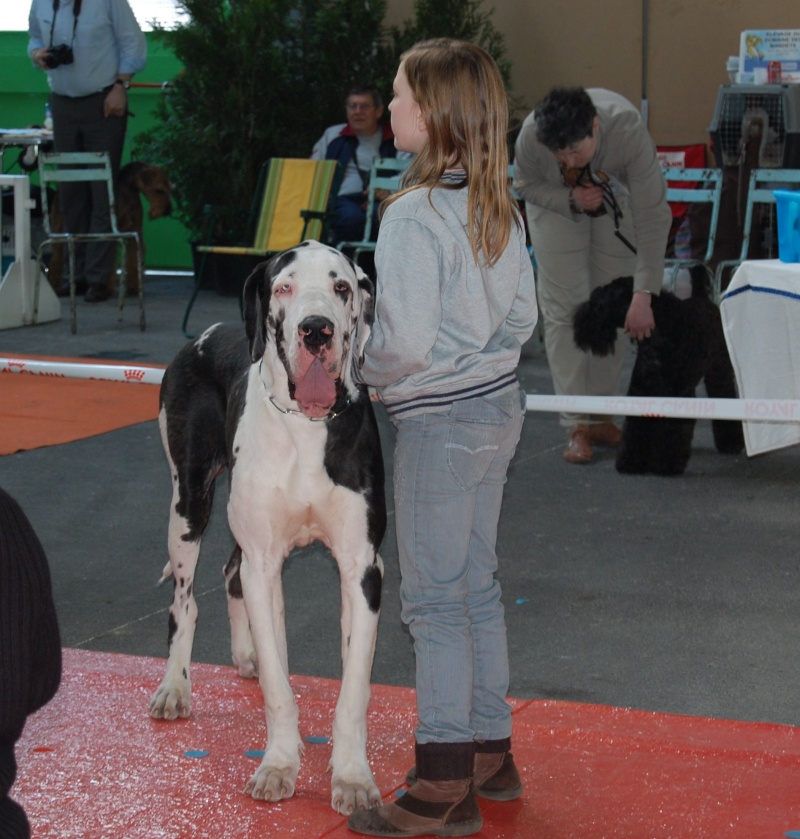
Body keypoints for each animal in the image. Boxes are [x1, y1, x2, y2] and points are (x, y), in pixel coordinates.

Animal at [48, 162, 172, 296]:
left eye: (169, 189)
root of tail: (57, 191)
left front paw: (134, 288)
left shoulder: (135, 234)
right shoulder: (114, 236)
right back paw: (54, 283)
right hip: (60, 232)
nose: (168, 211)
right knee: (56, 258)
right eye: (159, 190)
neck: (128, 193)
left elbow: (134, 261)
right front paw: (107, 289)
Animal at [152, 241, 390, 812]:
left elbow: (354, 688)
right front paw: (279, 764)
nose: (316, 330)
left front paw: (352, 775)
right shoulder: (265, 563)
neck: (307, 425)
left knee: (230, 569)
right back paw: (175, 685)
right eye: (284, 286)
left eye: (341, 287)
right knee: (185, 600)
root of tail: (207, 334)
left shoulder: (362, 569)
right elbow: (281, 691)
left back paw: (248, 655)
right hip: (188, 502)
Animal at [572, 272, 748, 476]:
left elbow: (672, 431)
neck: (662, 331)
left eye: (598, 302)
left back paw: (731, 443)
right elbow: (636, 428)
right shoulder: (641, 389)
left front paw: (667, 465)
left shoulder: (676, 394)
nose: (579, 319)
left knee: (725, 394)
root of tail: (704, 299)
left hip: (719, 372)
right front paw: (630, 462)